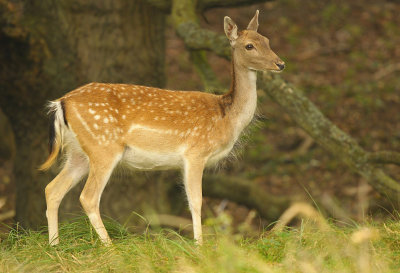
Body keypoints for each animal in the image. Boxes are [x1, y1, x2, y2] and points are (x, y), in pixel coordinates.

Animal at [40, 10, 284, 244]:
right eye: (249, 45)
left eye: (267, 40)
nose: (280, 63)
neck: (226, 116)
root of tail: (60, 103)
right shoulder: (195, 152)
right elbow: (196, 202)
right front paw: (199, 246)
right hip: (103, 147)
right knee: (88, 197)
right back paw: (109, 246)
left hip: (79, 152)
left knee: (52, 189)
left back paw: (55, 246)